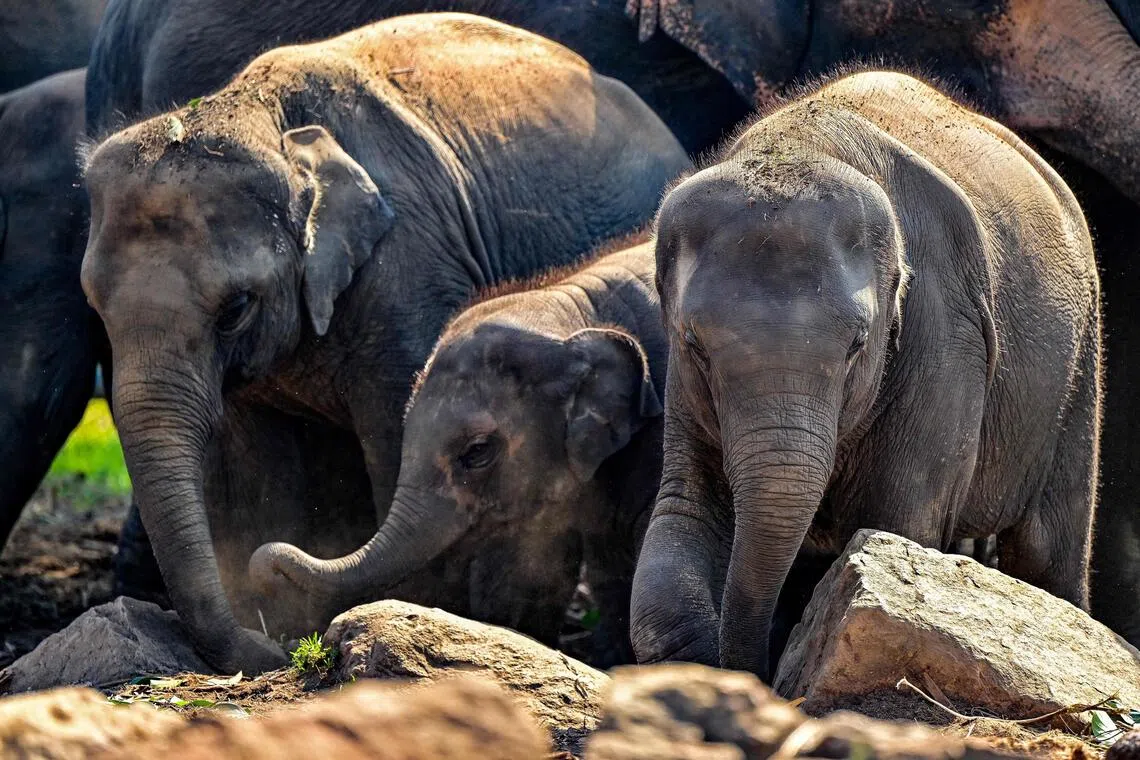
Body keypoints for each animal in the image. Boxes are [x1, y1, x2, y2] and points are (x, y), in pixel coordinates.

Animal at [631, 71, 1102, 680]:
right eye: (695, 345)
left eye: (858, 345)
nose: (755, 670)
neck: (800, 144)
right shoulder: (683, 388)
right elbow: (682, 520)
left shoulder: (942, 332)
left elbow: (899, 523)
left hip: (1080, 358)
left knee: (1049, 548)